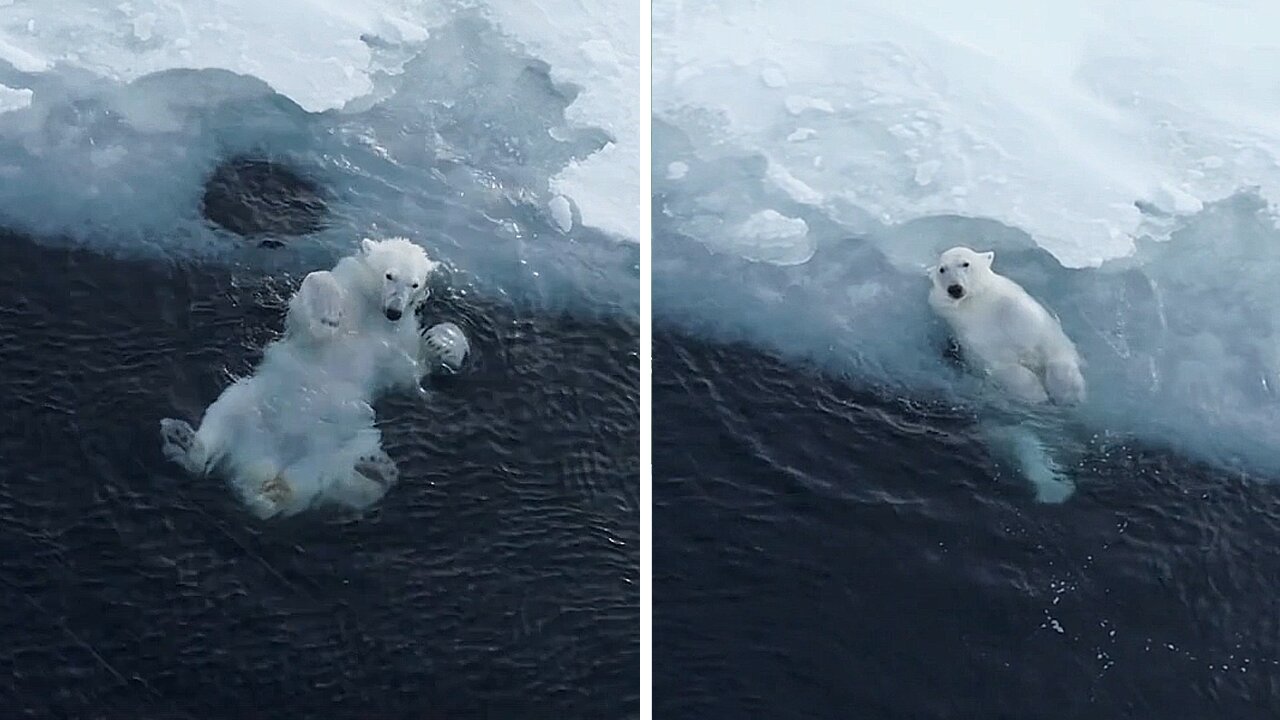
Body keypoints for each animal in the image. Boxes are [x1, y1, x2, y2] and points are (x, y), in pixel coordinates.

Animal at [160, 238, 471, 517]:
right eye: (389, 275)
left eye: (414, 284)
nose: (394, 310)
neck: (373, 311)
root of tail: (261, 470)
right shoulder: (339, 306)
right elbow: (311, 308)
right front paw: (329, 310)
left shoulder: (398, 339)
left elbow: (409, 373)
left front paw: (443, 343)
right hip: (249, 400)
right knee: (221, 420)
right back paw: (184, 440)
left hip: (348, 437)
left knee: (335, 478)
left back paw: (373, 470)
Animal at [931, 243, 1080, 502]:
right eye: (942, 269)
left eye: (965, 263)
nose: (955, 288)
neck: (975, 305)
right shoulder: (966, 331)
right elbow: (1003, 366)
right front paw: (1036, 395)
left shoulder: (1014, 307)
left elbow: (1047, 344)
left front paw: (1065, 394)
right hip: (994, 418)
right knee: (1020, 438)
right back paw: (1054, 489)